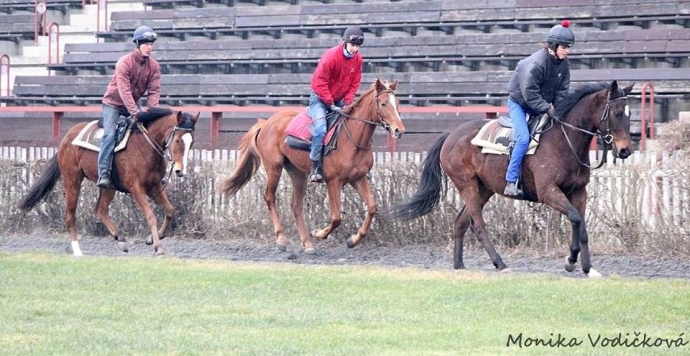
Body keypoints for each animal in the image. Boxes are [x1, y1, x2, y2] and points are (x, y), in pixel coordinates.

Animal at [16, 108, 199, 256]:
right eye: (178, 140)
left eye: (191, 142)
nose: (180, 170)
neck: (145, 146)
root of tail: (66, 139)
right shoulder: (136, 188)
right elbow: (151, 215)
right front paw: (158, 247)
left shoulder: (154, 187)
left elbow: (170, 210)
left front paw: (152, 239)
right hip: (72, 179)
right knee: (70, 215)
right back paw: (77, 250)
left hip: (108, 186)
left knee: (100, 210)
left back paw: (120, 239)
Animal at [218, 79, 406, 252]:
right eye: (383, 103)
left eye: (397, 103)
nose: (399, 130)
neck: (352, 139)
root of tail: (266, 123)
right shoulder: (333, 182)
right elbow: (336, 217)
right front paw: (318, 233)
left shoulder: (358, 179)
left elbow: (372, 208)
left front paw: (353, 240)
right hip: (274, 167)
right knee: (270, 197)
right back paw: (282, 238)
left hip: (297, 173)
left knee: (296, 206)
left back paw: (307, 243)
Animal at [390, 81, 632, 278]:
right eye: (617, 113)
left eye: (629, 115)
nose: (625, 150)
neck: (564, 140)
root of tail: (450, 135)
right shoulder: (548, 191)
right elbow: (575, 218)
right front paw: (572, 260)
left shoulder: (579, 191)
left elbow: (581, 225)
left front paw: (587, 267)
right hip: (467, 185)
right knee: (478, 225)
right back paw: (500, 263)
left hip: (484, 188)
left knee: (461, 222)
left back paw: (459, 264)